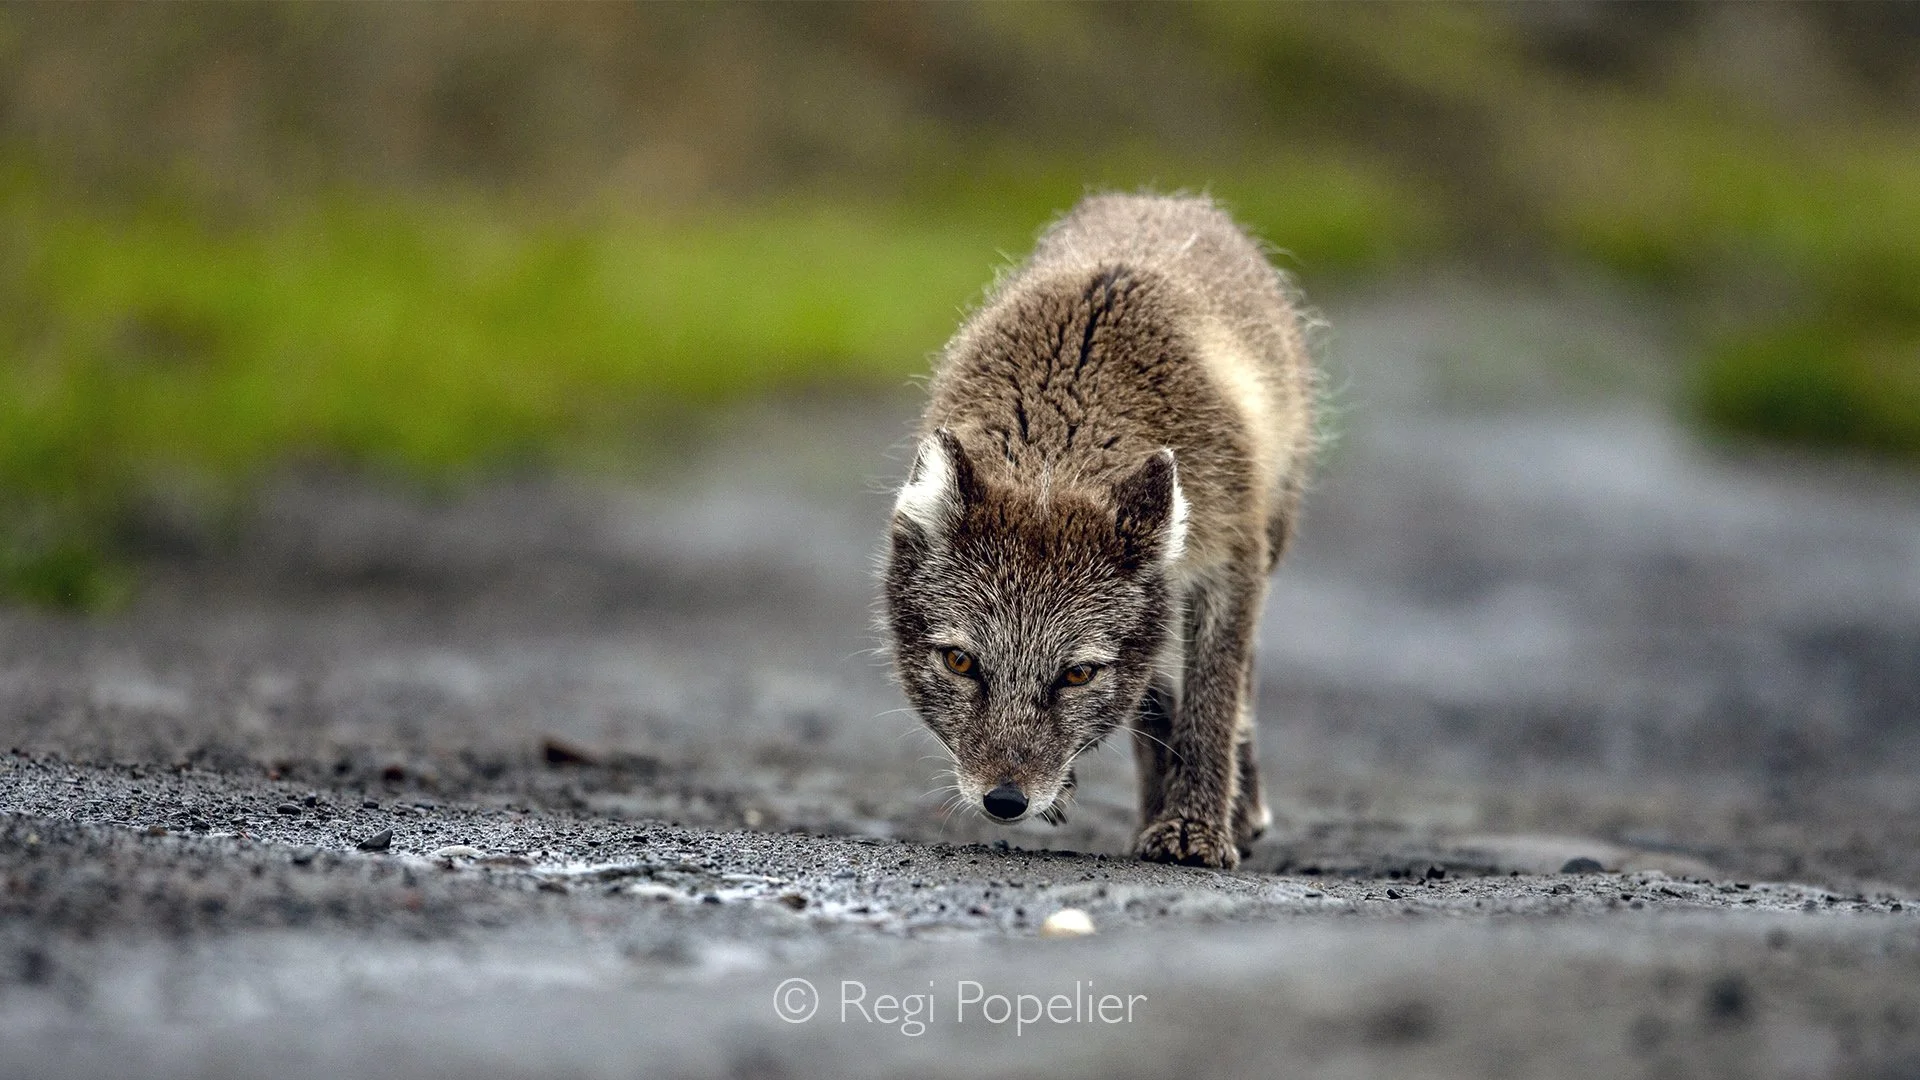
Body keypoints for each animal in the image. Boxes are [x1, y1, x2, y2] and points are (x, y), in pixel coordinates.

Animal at [882, 193, 1316, 869]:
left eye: (1077, 674)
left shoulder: (1230, 561)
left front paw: (1195, 828)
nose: (1005, 801)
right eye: (960, 662)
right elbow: (1156, 703)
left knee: (1238, 679)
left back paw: (1237, 809)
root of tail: (1161, 198)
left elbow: (1213, 701)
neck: (1056, 455)